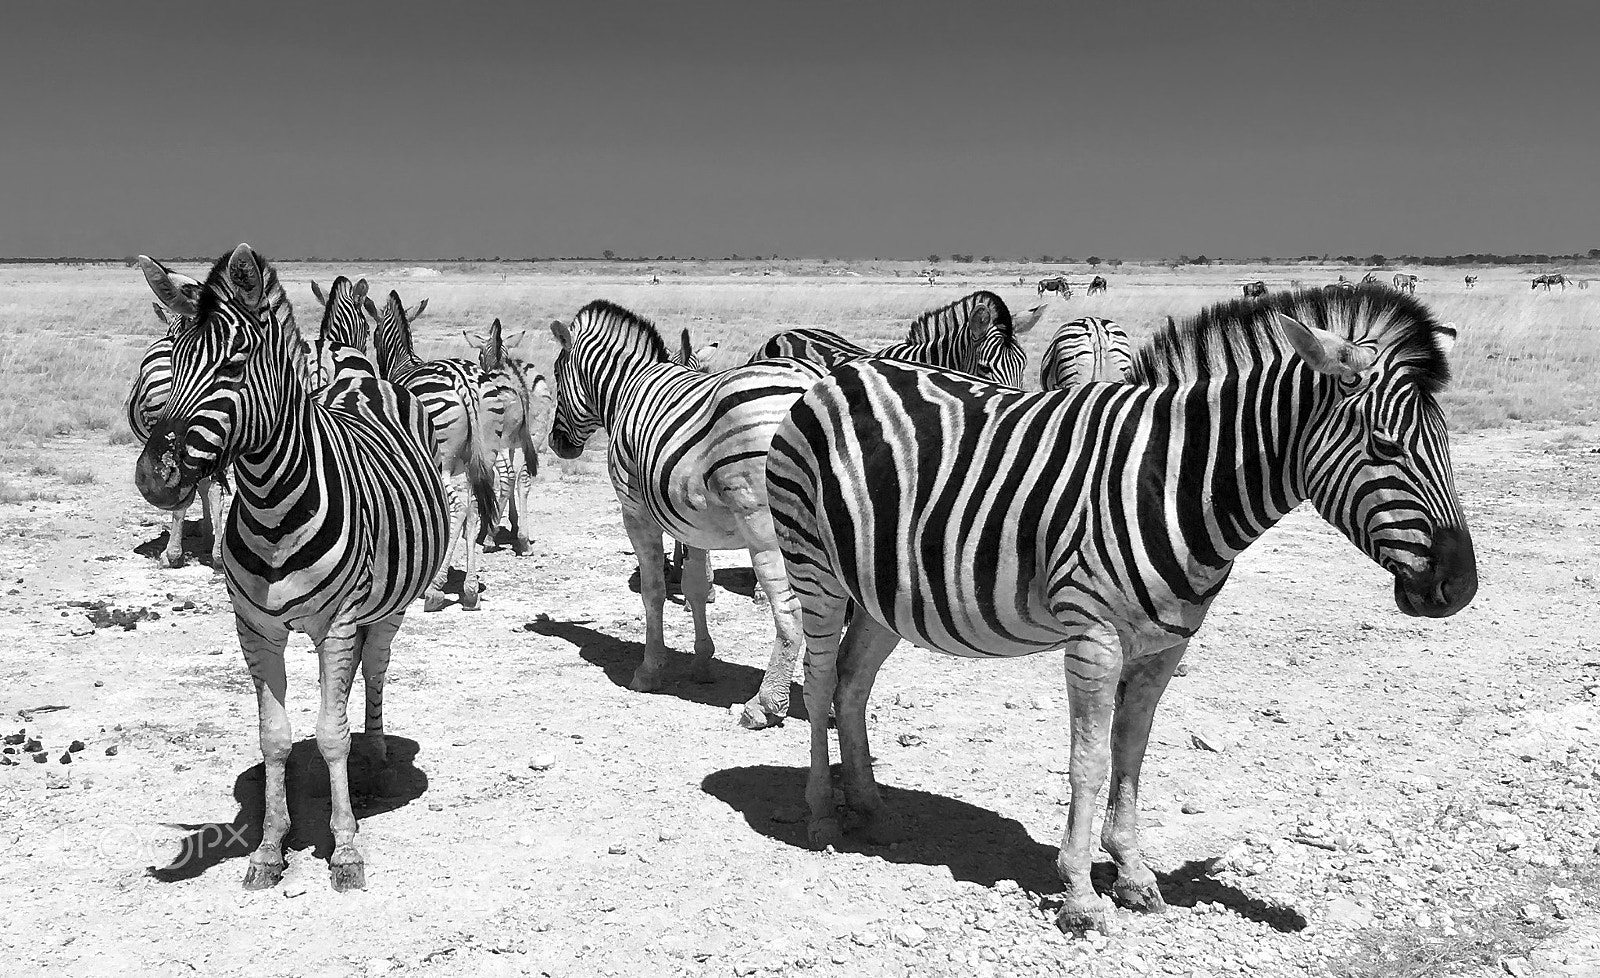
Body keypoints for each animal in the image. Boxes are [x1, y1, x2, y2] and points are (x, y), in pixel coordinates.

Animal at [369, 291, 497, 611]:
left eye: (373, 334)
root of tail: (465, 382)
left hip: (442, 460)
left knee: (459, 509)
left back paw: (435, 589)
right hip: (484, 455)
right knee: (473, 510)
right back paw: (470, 589)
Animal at [463, 318, 552, 557]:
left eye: (479, 355)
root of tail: (520, 384)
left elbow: (490, 477)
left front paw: (484, 527)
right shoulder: (516, 443)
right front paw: (513, 523)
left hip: (497, 440)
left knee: (507, 477)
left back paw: (489, 538)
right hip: (536, 437)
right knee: (523, 478)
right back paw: (524, 541)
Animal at [546, 300, 828, 729]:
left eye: (557, 376)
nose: (556, 444)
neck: (628, 386)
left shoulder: (635, 512)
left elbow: (654, 591)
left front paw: (649, 670)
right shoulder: (692, 523)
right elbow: (696, 586)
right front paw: (702, 663)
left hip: (769, 529)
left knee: (793, 610)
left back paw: (764, 704)